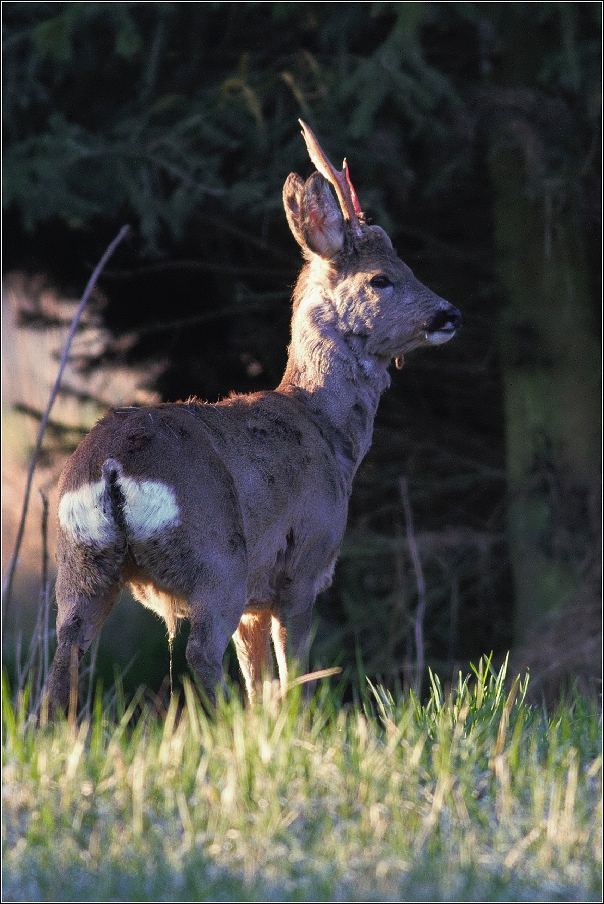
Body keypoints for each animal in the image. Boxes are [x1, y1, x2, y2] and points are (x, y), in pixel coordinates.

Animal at [46, 122, 462, 712]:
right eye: (382, 278)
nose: (449, 314)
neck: (327, 433)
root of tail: (111, 467)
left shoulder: (256, 597)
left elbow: (259, 680)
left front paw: (262, 725)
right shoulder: (304, 563)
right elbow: (294, 673)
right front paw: (295, 723)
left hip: (80, 561)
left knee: (66, 652)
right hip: (216, 561)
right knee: (198, 651)